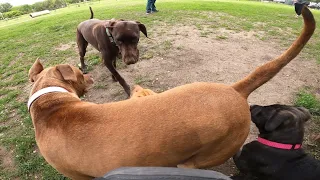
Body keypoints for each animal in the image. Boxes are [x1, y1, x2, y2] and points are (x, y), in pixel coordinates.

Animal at [27, 6, 316, 180]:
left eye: (134, 39)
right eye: (78, 76)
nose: (87, 75)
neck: (50, 103)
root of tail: (233, 90)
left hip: (198, 160)